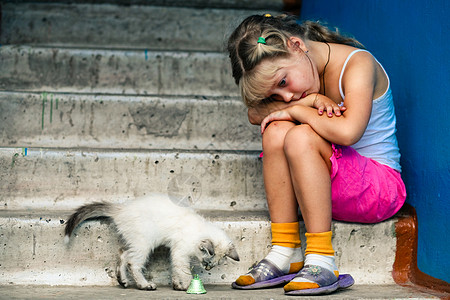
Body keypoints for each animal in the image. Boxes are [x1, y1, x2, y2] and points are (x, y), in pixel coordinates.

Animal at [64, 195, 239, 290]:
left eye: (215, 265)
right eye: (207, 261)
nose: (208, 268)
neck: (198, 230)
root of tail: (122, 209)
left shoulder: (176, 252)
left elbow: (175, 270)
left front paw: (177, 285)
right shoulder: (180, 252)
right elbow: (183, 271)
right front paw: (188, 286)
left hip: (137, 242)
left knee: (123, 254)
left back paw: (123, 280)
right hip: (144, 243)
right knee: (133, 263)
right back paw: (144, 285)